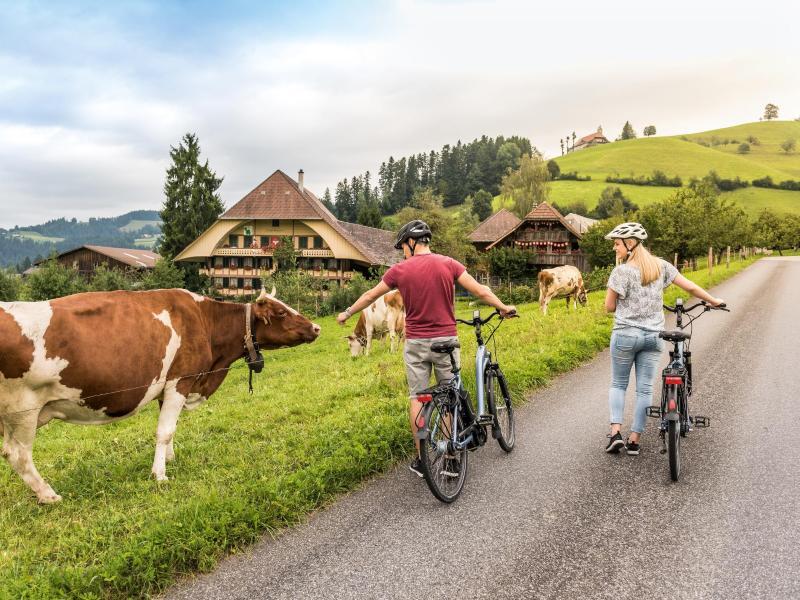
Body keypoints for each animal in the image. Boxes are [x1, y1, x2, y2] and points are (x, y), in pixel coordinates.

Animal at [0, 288, 318, 504]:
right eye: (281, 313)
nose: (316, 327)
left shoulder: (171, 386)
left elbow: (171, 429)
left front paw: (170, 458)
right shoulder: (181, 379)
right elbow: (164, 431)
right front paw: (160, 475)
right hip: (23, 410)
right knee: (19, 455)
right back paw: (49, 495)